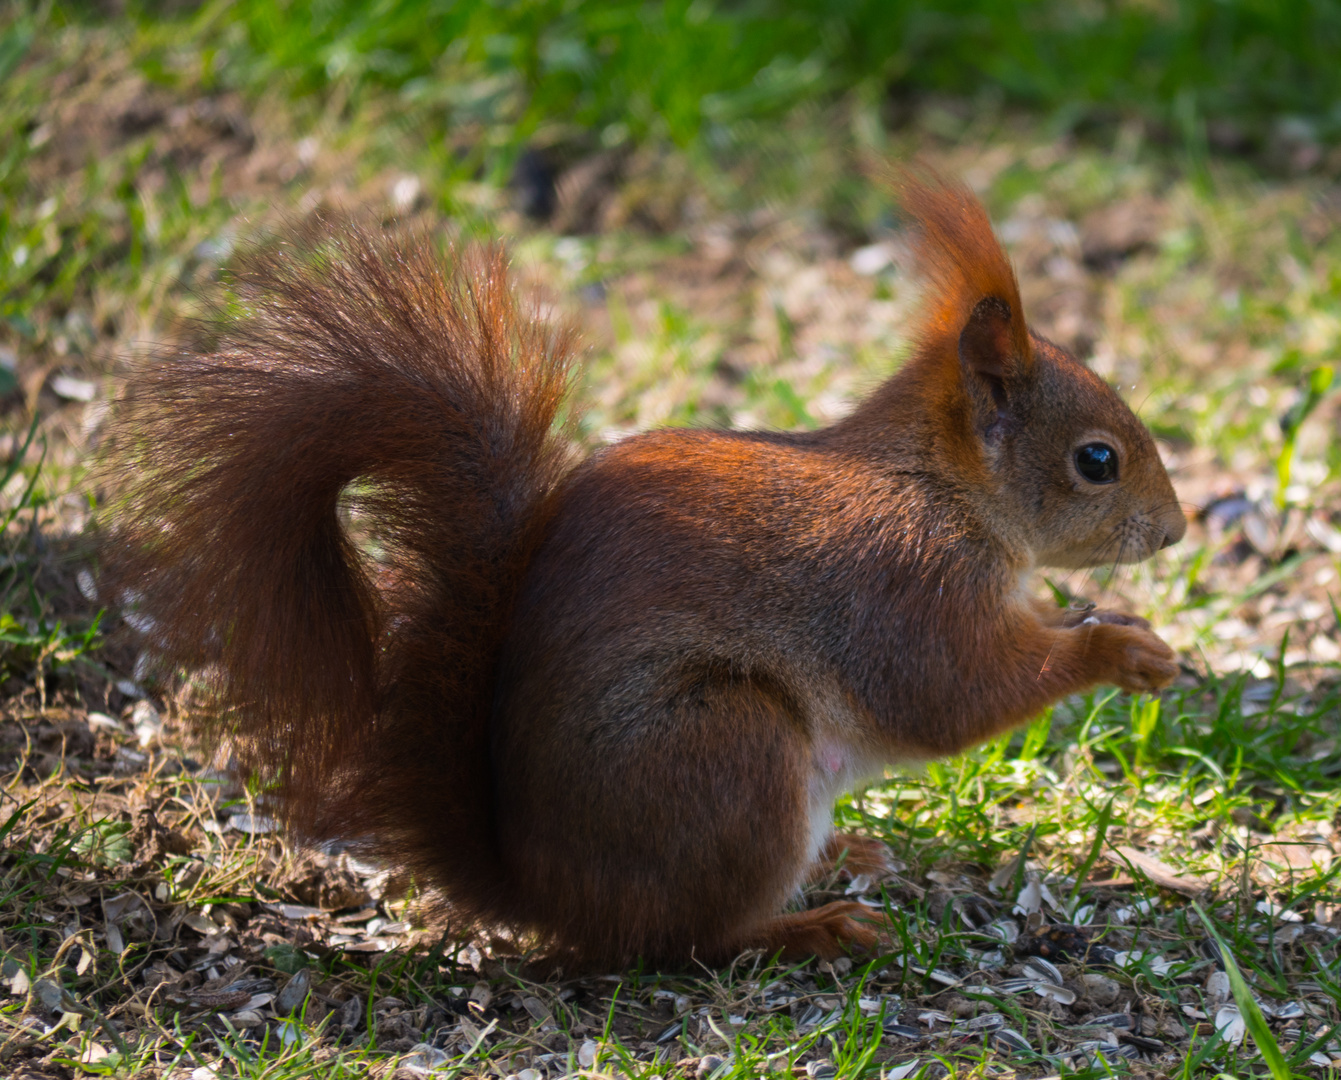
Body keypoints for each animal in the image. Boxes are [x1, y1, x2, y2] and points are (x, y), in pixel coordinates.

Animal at [101, 170, 1185, 971]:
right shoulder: (903, 587)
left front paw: (1117, 624)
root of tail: (545, 893)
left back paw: (843, 851)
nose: (1173, 532)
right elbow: (951, 697)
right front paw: (1117, 652)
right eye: (1097, 460)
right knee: (686, 939)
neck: (942, 487)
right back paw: (809, 927)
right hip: (729, 747)